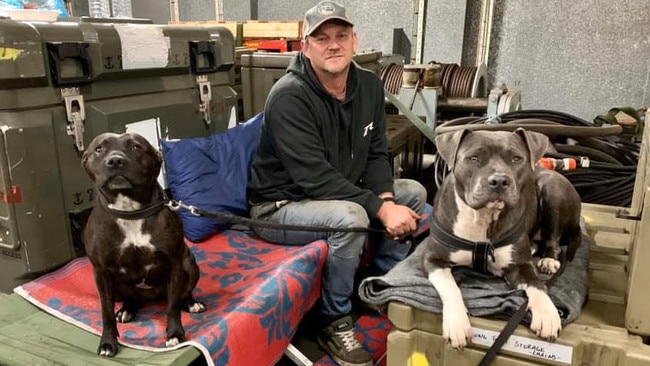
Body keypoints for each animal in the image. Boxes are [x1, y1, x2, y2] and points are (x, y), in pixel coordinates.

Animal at [82, 132, 205, 358]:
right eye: (99, 148)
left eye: (136, 147)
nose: (115, 160)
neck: (130, 211)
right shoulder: (101, 272)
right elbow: (105, 312)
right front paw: (108, 342)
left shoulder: (174, 264)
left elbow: (172, 306)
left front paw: (175, 333)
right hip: (117, 286)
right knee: (129, 298)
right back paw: (126, 310)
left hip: (189, 265)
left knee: (182, 293)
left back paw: (191, 303)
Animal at [422, 128, 580, 348]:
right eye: (473, 158)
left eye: (516, 158)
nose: (499, 181)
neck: (483, 217)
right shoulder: (433, 259)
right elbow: (451, 288)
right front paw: (457, 324)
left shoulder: (520, 266)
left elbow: (537, 285)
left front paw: (547, 314)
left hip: (553, 190)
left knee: (553, 239)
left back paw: (548, 259)